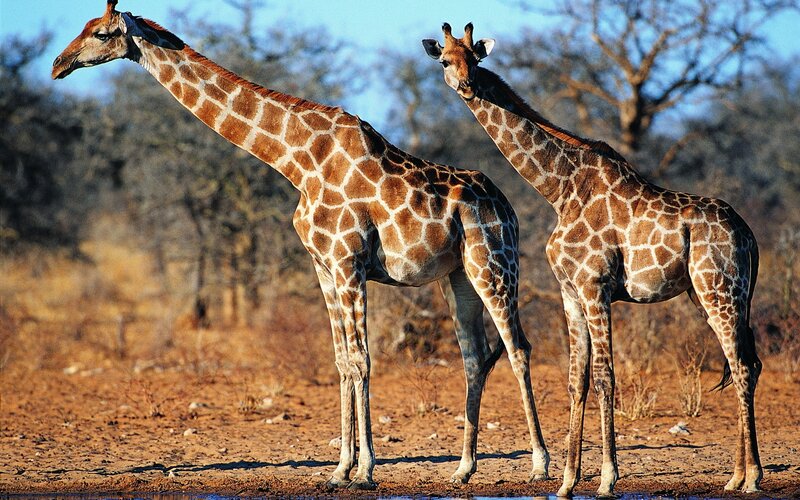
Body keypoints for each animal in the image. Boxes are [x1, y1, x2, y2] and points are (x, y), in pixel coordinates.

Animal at [52, 1, 551, 488]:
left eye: (101, 33)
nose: (59, 64)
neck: (298, 160)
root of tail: (509, 208)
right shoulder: (324, 266)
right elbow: (342, 361)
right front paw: (339, 470)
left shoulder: (349, 262)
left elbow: (362, 359)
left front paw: (365, 470)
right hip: (458, 276)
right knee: (473, 357)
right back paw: (463, 469)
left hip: (495, 266)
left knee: (518, 347)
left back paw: (540, 464)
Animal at [423, 23, 762, 497]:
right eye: (445, 60)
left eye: (475, 58)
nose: (468, 86)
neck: (559, 189)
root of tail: (749, 236)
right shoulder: (570, 291)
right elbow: (576, 379)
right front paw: (567, 481)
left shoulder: (594, 286)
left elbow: (605, 375)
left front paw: (606, 478)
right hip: (711, 295)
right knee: (744, 362)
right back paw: (734, 476)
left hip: (721, 290)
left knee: (743, 365)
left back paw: (752, 478)